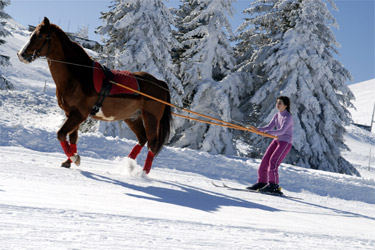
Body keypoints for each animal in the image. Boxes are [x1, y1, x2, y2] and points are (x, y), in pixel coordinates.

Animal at [16, 17, 172, 174]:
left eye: (40, 35)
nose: (21, 54)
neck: (79, 75)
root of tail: (160, 83)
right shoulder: (70, 113)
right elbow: (73, 137)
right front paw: (69, 160)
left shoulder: (80, 114)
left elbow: (61, 134)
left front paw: (74, 158)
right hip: (132, 117)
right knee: (142, 138)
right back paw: (128, 163)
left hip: (151, 118)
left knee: (152, 143)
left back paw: (143, 172)